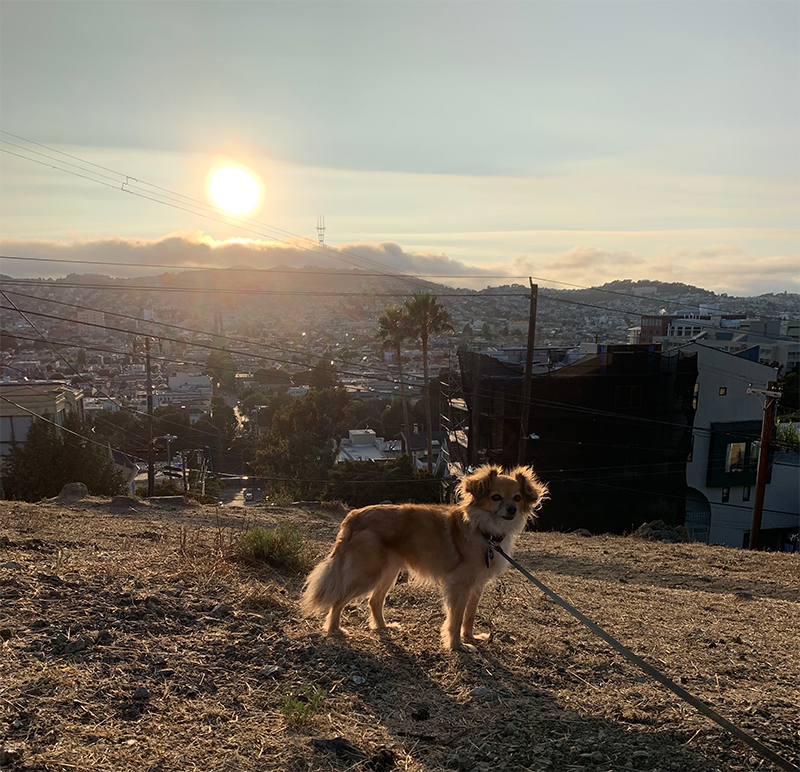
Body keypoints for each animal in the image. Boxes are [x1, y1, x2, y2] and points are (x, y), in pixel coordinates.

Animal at [301, 464, 548, 651]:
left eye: (517, 498)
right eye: (496, 497)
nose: (511, 509)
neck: (485, 531)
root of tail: (353, 515)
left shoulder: (476, 585)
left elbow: (469, 615)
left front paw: (470, 637)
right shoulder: (459, 585)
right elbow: (456, 618)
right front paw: (457, 645)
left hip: (388, 572)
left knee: (374, 601)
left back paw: (382, 627)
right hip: (367, 574)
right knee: (338, 599)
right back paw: (334, 629)